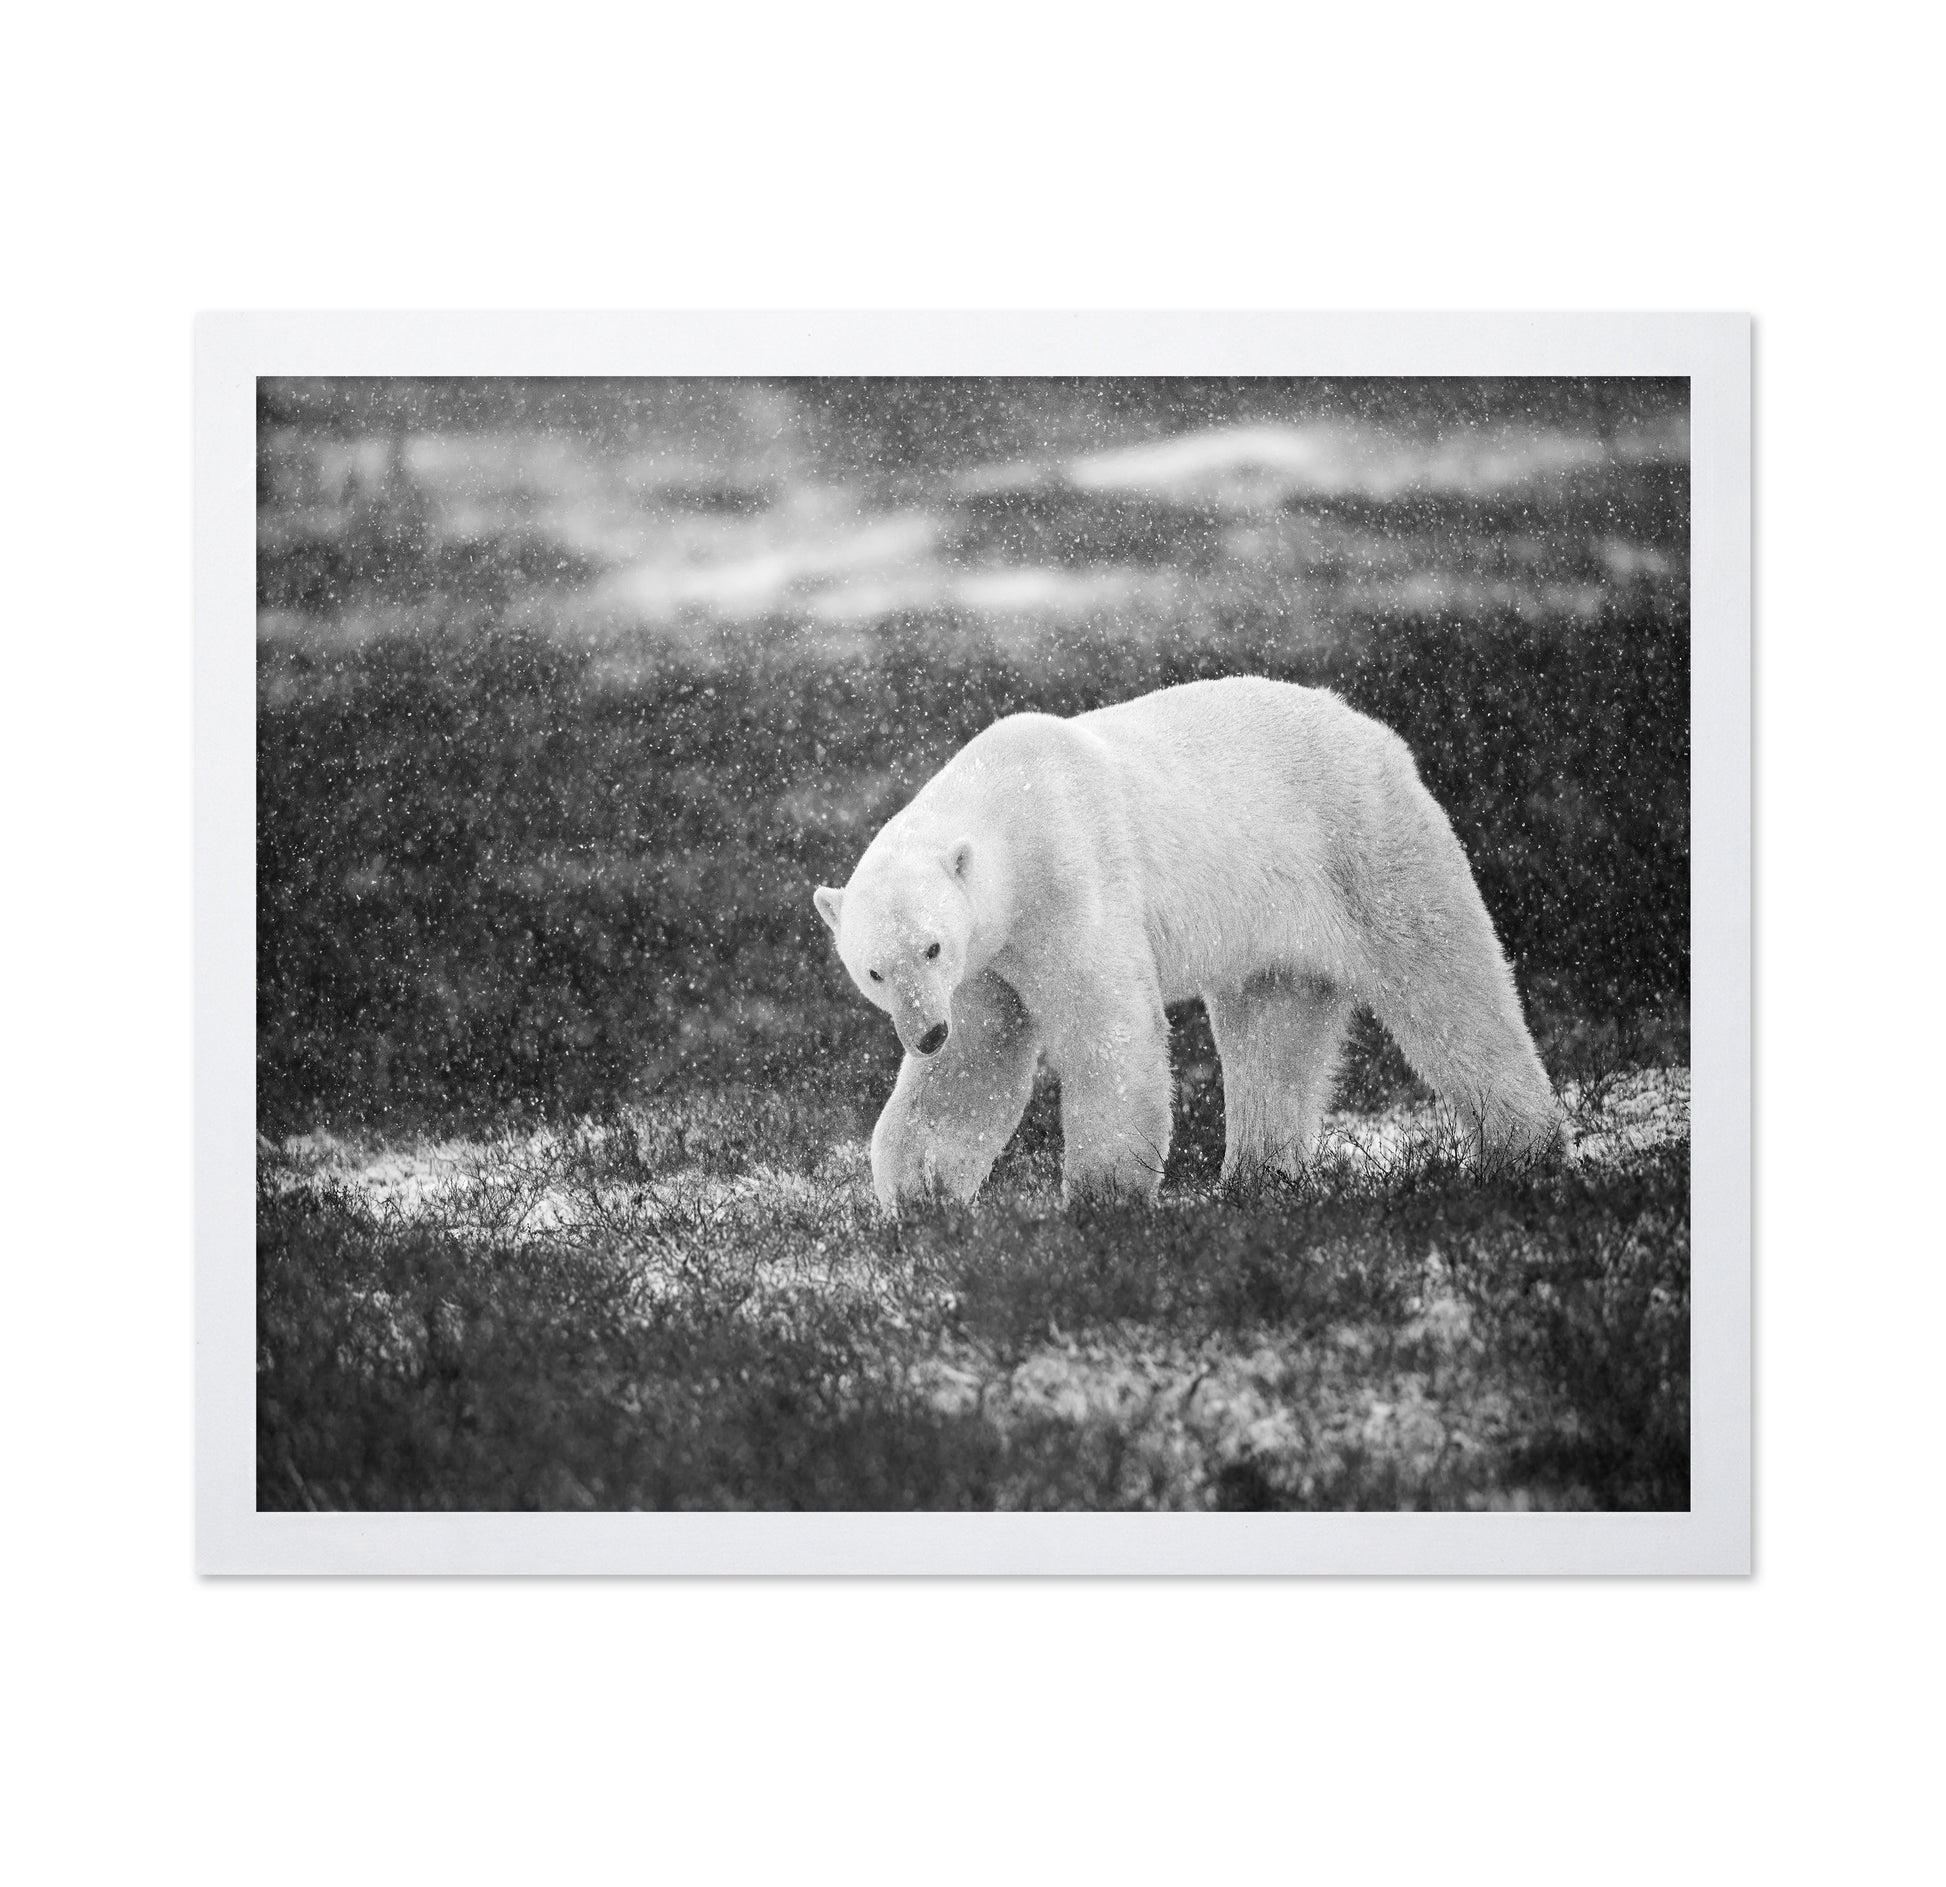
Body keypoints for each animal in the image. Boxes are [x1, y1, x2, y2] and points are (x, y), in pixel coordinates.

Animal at [813, 675, 1562, 1211]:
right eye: (874, 971)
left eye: (931, 948)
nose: (924, 1033)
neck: (1008, 808)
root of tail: (1373, 730)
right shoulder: (987, 964)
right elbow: (974, 1065)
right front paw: (918, 1197)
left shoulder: (1070, 880)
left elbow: (1107, 1025)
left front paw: (1103, 1198)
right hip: (1272, 924)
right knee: (1274, 1034)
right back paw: (1256, 1179)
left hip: (1365, 847)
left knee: (1446, 984)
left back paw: (1522, 1147)